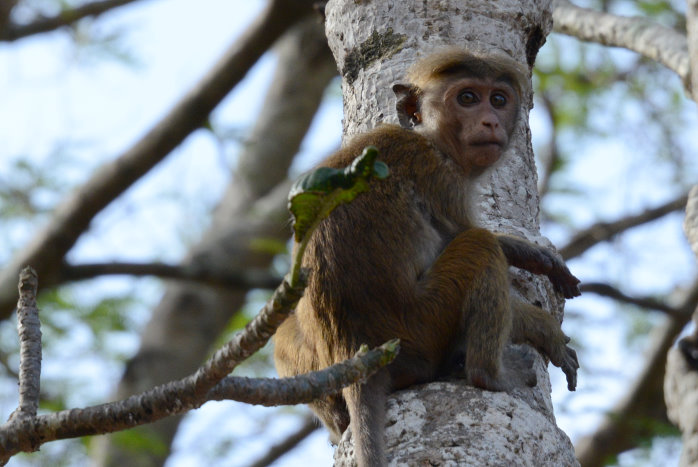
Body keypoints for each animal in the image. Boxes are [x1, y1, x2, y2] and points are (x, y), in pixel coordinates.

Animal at [274, 48, 580, 467]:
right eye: (467, 98)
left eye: (498, 99)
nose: (490, 120)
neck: (431, 139)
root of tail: (353, 348)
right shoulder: (440, 176)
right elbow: (471, 236)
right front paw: (541, 316)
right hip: (423, 324)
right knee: (479, 246)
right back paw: (489, 373)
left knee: (282, 334)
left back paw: (338, 419)